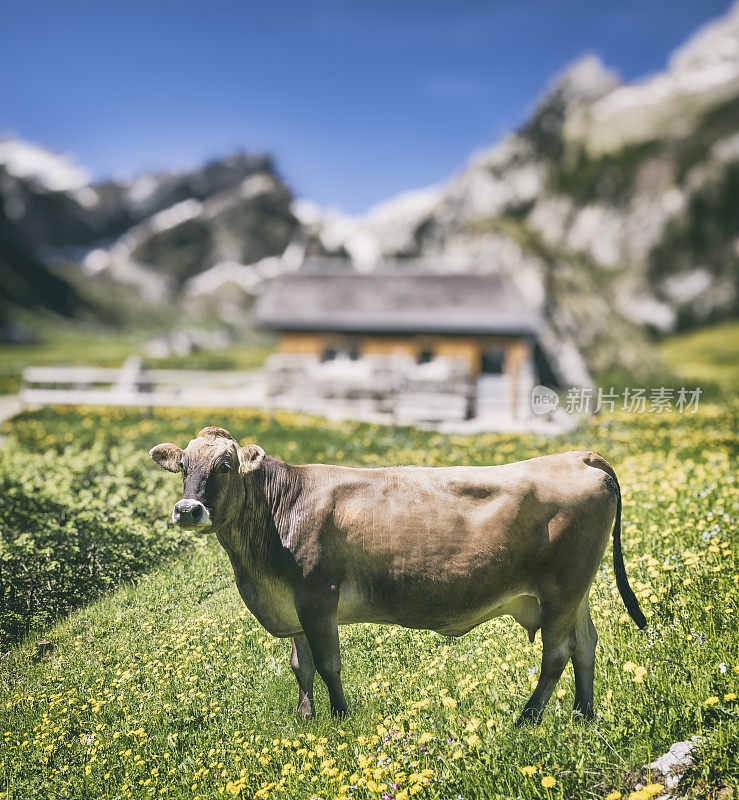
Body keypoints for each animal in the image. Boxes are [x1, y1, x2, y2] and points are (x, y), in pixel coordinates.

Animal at [147, 428, 644, 720]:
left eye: (225, 465)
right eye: (184, 466)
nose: (187, 510)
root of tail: (578, 456)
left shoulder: (317, 594)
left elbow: (328, 663)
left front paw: (341, 719)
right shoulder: (291, 603)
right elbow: (300, 665)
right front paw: (306, 718)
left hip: (561, 587)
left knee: (557, 653)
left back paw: (528, 718)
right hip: (574, 591)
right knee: (585, 644)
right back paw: (583, 714)